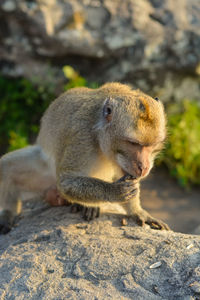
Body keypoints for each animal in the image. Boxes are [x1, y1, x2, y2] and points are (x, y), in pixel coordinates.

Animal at [0, 82, 170, 234]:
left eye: (151, 145)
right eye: (133, 143)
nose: (144, 166)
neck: (99, 135)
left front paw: (137, 212)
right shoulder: (82, 136)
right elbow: (66, 182)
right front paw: (114, 191)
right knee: (6, 168)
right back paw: (8, 213)